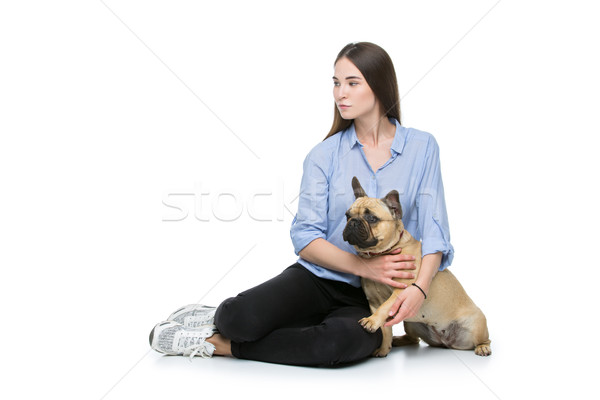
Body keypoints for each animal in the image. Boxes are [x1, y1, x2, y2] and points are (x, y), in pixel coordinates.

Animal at [342, 177, 492, 358]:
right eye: (347, 215)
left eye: (372, 218)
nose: (352, 222)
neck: (381, 253)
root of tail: (446, 342)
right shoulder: (374, 302)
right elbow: (385, 329)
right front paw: (383, 349)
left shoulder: (401, 291)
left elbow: (385, 307)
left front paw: (371, 321)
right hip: (410, 323)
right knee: (414, 339)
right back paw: (398, 340)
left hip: (476, 324)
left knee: (485, 339)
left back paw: (483, 347)